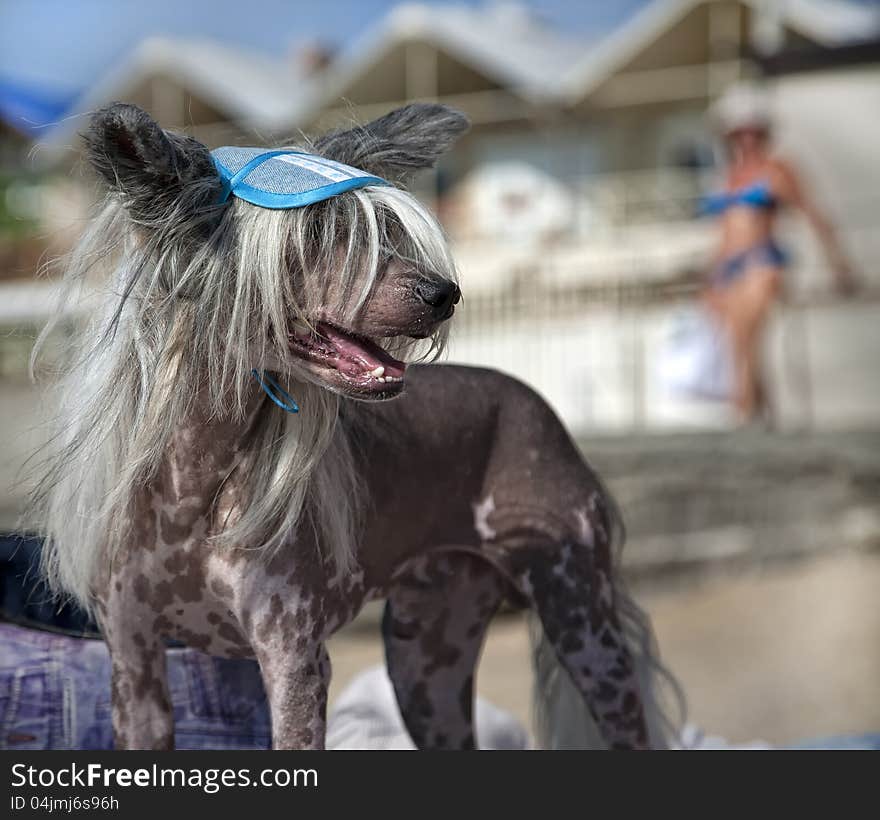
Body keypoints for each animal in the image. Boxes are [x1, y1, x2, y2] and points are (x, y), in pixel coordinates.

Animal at [29, 102, 672, 748]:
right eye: (316, 236)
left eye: (386, 232)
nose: (445, 293)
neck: (195, 481)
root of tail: (535, 404)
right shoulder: (134, 664)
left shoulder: (295, 662)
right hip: (427, 662)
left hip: (584, 628)